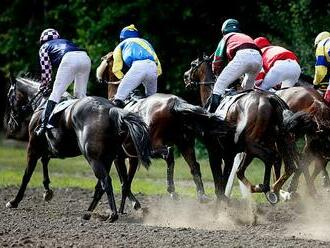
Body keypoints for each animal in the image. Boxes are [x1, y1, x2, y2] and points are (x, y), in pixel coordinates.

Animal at [5, 76, 152, 222]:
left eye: (9, 96)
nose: (11, 124)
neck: (42, 103)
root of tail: (111, 110)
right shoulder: (53, 150)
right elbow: (45, 161)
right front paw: (47, 191)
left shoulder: (33, 148)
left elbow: (26, 176)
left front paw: (14, 201)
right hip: (108, 158)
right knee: (103, 186)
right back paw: (89, 213)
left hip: (93, 158)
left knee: (106, 181)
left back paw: (112, 214)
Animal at [96, 51, 235, 202]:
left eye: (103, 60)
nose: (185, 76)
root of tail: (175, 102)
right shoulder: (131, 156)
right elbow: (127, 180)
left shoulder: (118, 157)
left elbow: (123, 181)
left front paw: (133, 202)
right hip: (185, 143)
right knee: (194, 166)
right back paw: (201, 195)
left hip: (155, 144)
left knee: (168, 154)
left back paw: (173, 190)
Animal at [183, 53, 314, 202]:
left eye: (193, 64)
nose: (185, 76)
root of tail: (272, 99)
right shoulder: (232, 152)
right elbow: (233, 174)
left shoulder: (215, 150)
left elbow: (220, 183)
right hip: (281, 141)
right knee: (291, 165)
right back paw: (278, 190)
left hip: (252, 143)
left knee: (273, 157)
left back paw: (271, 190)